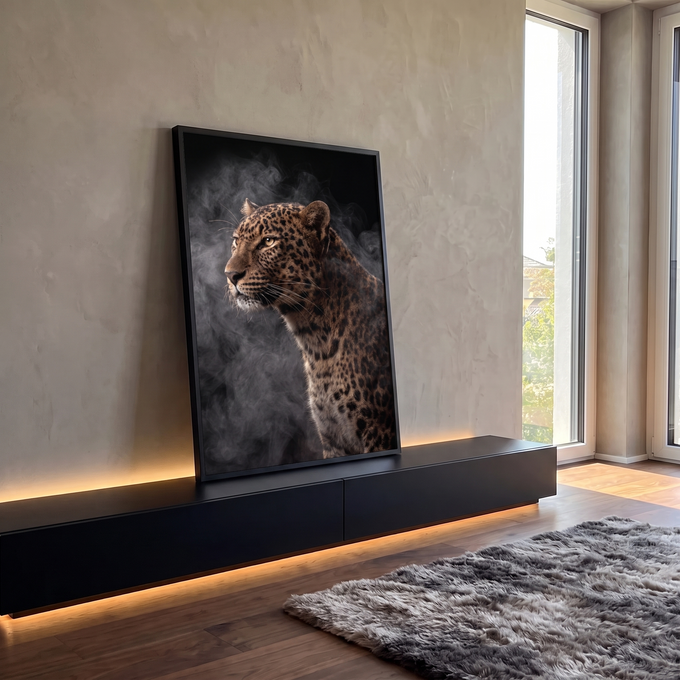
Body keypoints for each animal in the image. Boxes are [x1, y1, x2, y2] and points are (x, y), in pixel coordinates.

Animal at [224, 198, 397, 459]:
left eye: (268, 241)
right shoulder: (333, 439)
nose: (230, 275)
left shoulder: (379, 433)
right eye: (236, 240)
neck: (316, 342)